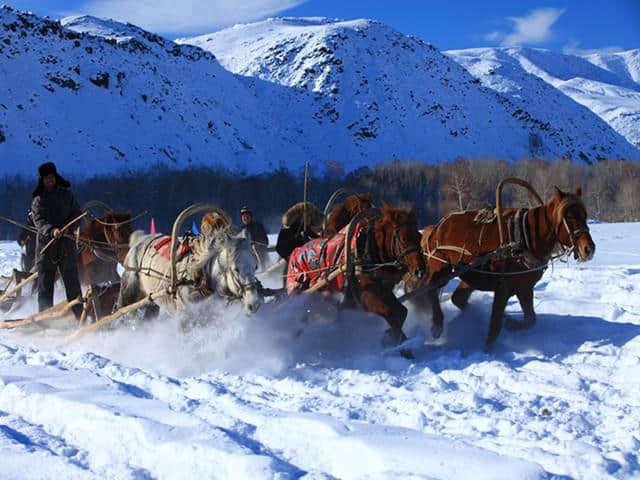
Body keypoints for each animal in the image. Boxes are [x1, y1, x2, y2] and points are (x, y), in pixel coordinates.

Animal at [117, 229, 262, 318]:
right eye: (236, 269)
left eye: (255, 266)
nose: (254, 304)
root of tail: (138, 240)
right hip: (128, 296)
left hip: (152, 304)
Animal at [416, 187, 596, 344]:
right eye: (569, 217)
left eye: (585, 215)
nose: (589, 249)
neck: (524, 238)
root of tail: (436, 227)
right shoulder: (503, 289)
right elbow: (495, 327)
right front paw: (488, 349)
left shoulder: (525, 288)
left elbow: (530, 320)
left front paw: (510, 322)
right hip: (440, 268)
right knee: (430, 289)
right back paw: (437, 324)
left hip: (469, 275)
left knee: (457, 298)